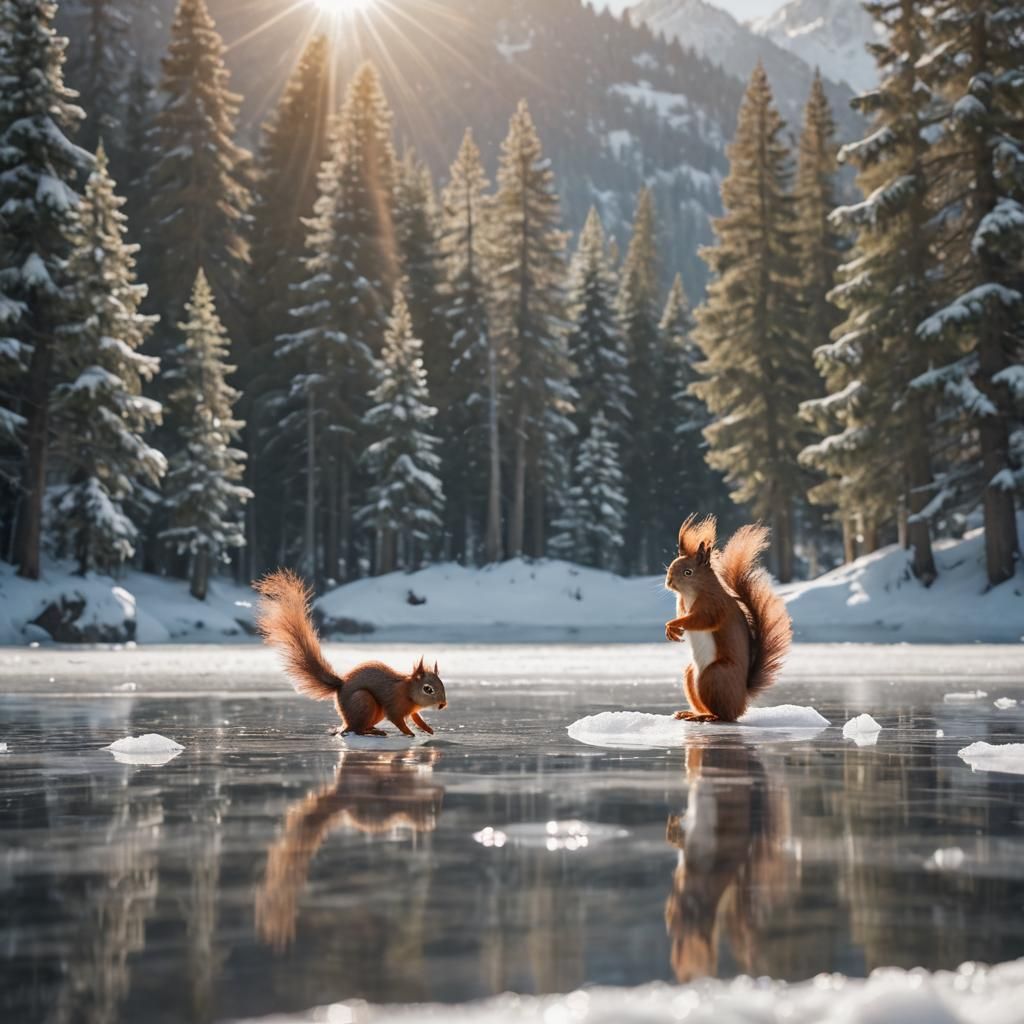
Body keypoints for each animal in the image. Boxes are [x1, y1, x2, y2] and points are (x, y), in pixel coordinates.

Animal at [254, 569, 447, 737]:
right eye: (428, 689)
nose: (443, 705)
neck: (407, 691)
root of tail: (340, 686)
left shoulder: (412, 710)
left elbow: (417, 717)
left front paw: (428, 729)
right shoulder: (394, 705)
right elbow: (398, 720)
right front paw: (410, 733)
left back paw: (373, 729)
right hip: (364, 701)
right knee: (353, 729)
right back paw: (373, 732)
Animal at [664, 514, 792, 723]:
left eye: (688, 572)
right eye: (671, 566)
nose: (668, 582)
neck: (690, 593)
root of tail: (742, 698)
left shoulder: (714, 606)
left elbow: (702, 620)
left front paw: (672, 625)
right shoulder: (682, 605)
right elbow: (683, 616)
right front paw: (673, 629)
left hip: (715, 675)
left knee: (725, 715)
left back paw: (707, 717)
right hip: (691, 675)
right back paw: (691, 713)